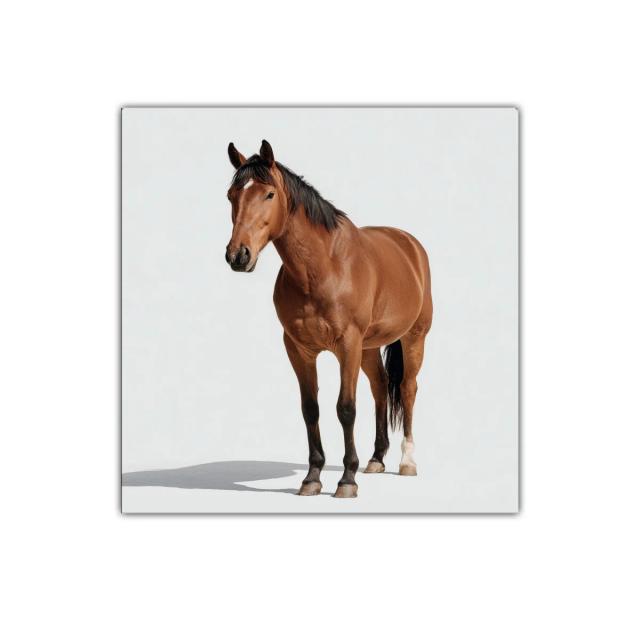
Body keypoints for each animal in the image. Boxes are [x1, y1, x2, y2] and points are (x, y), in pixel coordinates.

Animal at [224, 140, 432, 498]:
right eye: (231, 195)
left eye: (269, 194)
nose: (238, 255)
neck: (323, 267)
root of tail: (410, 245)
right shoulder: (299, 349)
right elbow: (311, 409)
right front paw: (312, 477)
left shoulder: (347, 345)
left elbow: (345, 408)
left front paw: (347, 480)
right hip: (369, 347)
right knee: (380, 388)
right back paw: (376, 459)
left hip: (413, 338)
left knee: (407, 388)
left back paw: (407, 461)